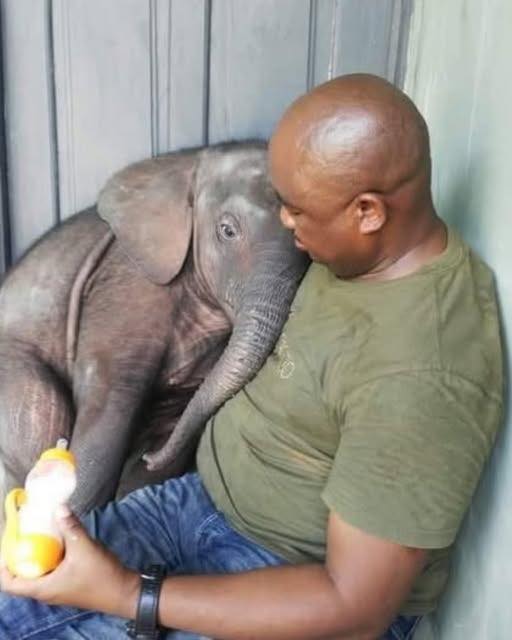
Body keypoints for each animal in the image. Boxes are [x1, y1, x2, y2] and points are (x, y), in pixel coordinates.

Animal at [0, 141, 309, 515]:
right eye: (227, 230)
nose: (151, 457)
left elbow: (171, 420)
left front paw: (145, 466)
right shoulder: (126, 284)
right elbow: (110, 402)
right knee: (43, 417)